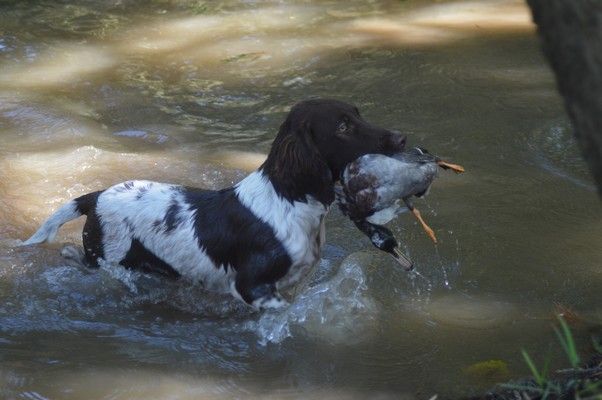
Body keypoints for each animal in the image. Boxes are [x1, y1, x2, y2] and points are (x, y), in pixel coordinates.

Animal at [21, 99, 406, 310]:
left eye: (358, 114)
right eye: (343, 126)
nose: (402, 137)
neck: (289, 199)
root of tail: (96, 196)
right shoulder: (252, 287)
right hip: (112, 259)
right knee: (87, 262)